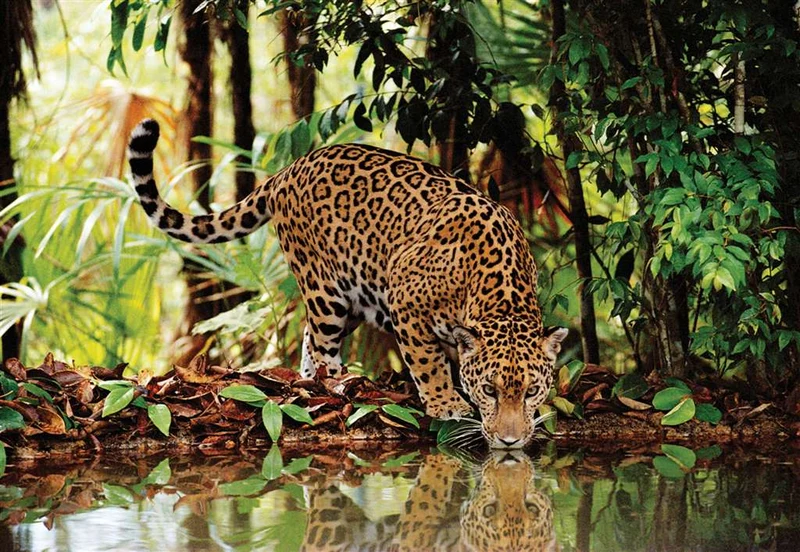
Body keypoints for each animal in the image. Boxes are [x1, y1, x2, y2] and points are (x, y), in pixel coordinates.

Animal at [127, 118, 568, 448]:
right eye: (490, 390)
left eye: (531, 391)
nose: (510, 442)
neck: (497, 291)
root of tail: (288, 170)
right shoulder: (405, 299)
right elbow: (428, 363)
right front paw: (446, 404)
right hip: (324, 288)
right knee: (323, 344)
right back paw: (335, 386)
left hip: (354, 294)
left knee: (309, 339)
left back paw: (310, 382)